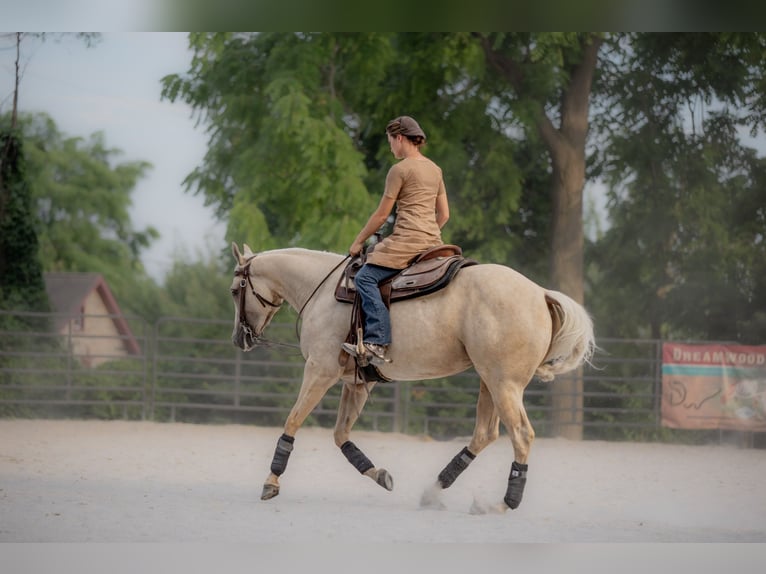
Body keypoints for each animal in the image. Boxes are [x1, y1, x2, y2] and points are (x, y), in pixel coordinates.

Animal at [229, 243, 595, 512]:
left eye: (235, 290)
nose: (239, 339)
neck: (323, 291)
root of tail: (540, 293)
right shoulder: (359, 382)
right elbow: (340, 435)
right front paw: (379, 475)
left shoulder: (320, 371)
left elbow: (292, 421)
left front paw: (271, 482)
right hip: (489, 381)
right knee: (484, 434)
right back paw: (435, 490)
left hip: (504, 385)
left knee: (521, 435)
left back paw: (503, 504)